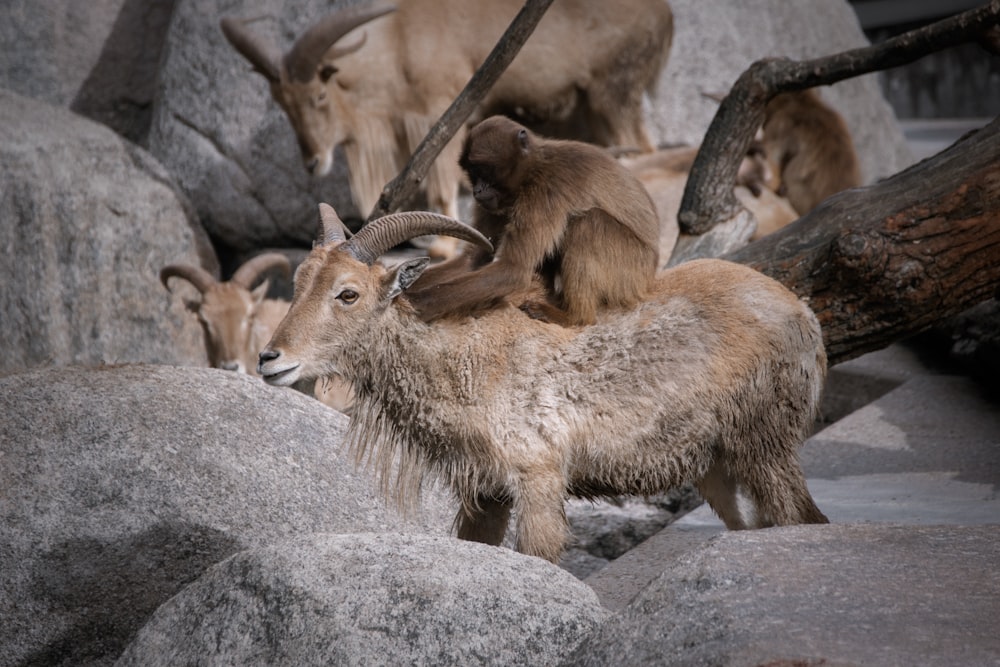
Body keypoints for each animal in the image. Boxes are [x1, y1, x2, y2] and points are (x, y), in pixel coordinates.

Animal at [219, 0, 672, 224]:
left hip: (613, 92)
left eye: (318, 96)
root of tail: (665, 14)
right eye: (282, 103)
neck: (401, 43)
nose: (313, 162)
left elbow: (441, 189)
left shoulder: (440, 113)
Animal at [258, 204, 828, 564]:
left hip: (765, 443)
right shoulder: (485, 493)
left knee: (803, 517)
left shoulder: (538, 479)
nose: (269, 359)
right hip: (717, 465)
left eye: (347, 293)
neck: (464, 362)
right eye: (299, 283)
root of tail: (804, 315)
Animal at [406, 116, 664, 328]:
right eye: (473, 173)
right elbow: (475, 259)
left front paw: (415, 302)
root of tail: (650, 274)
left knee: (588, 222)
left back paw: (576, 317)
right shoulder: (496, 203)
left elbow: (513, 270)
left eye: (484, 171)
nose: (477, 190)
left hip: (631, 269)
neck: (533, 167)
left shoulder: (545, 190)